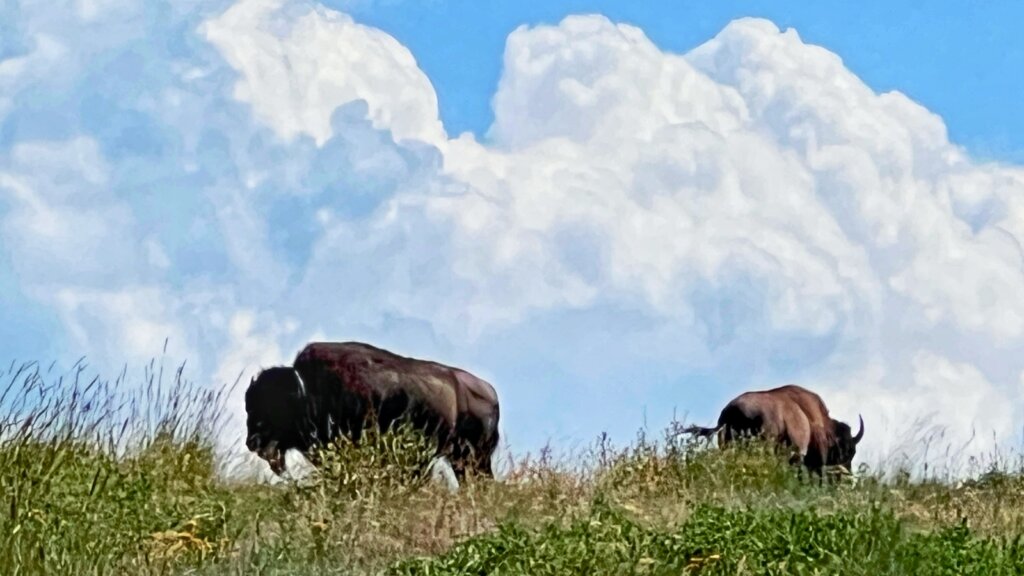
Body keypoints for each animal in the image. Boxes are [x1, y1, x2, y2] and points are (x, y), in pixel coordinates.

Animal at [245, 342, 500, 480]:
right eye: (249, 405)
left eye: (275, 406)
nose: (252, 442)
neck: (307, 390)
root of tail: (489, 391)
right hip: (463, 459)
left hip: (475, 457)